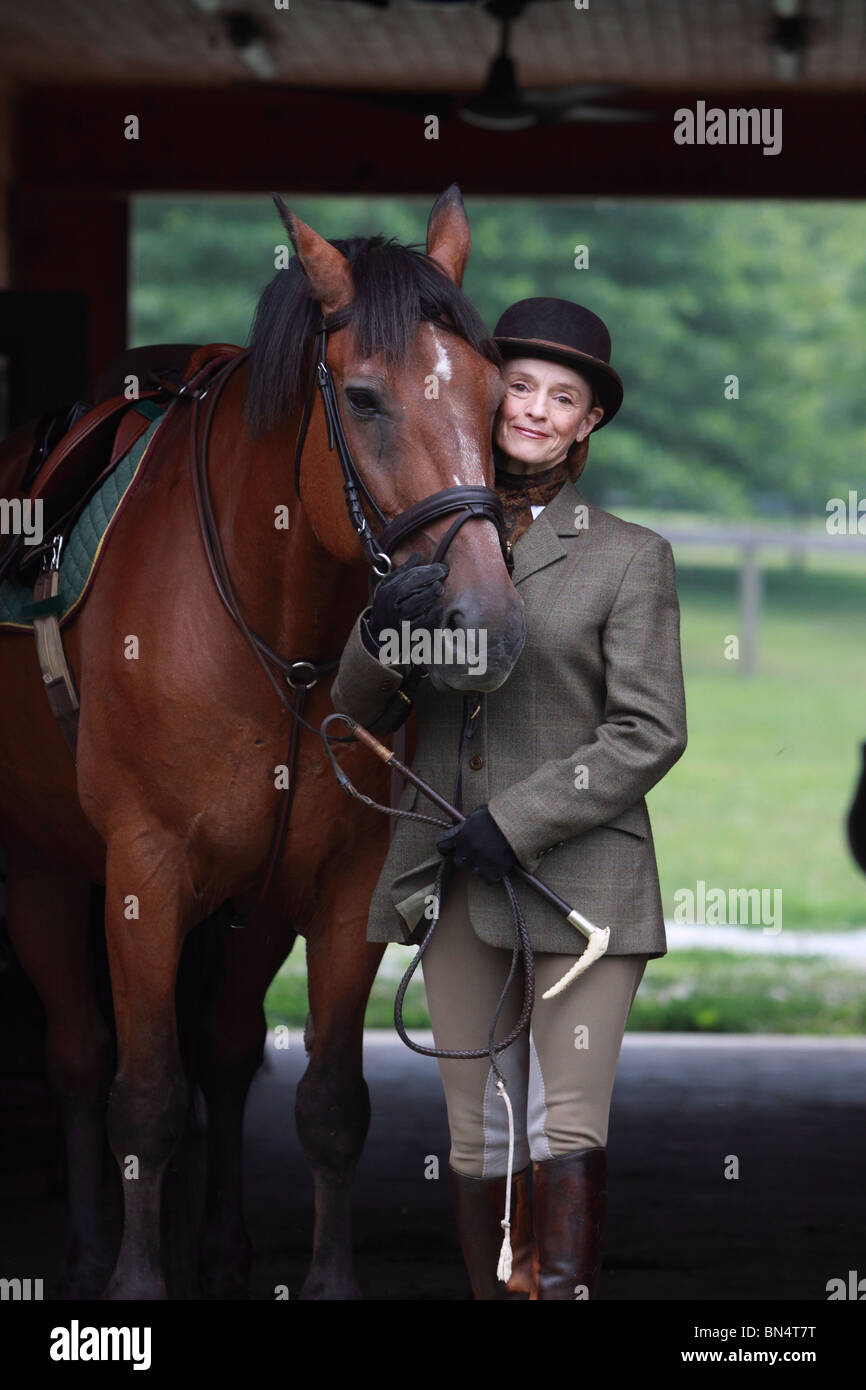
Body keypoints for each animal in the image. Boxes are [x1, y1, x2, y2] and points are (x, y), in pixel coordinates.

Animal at [0, 187, 525, 1301]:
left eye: (497, 392)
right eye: (363, 399)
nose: (487, 619)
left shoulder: (341, 884)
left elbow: (328, 1104)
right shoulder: (143, 875)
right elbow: (144, 1097)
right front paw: (132, 1283)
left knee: (230, 1052)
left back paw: (223, 1247)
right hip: (44, 872)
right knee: (79, 1059)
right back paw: (86, 1250)